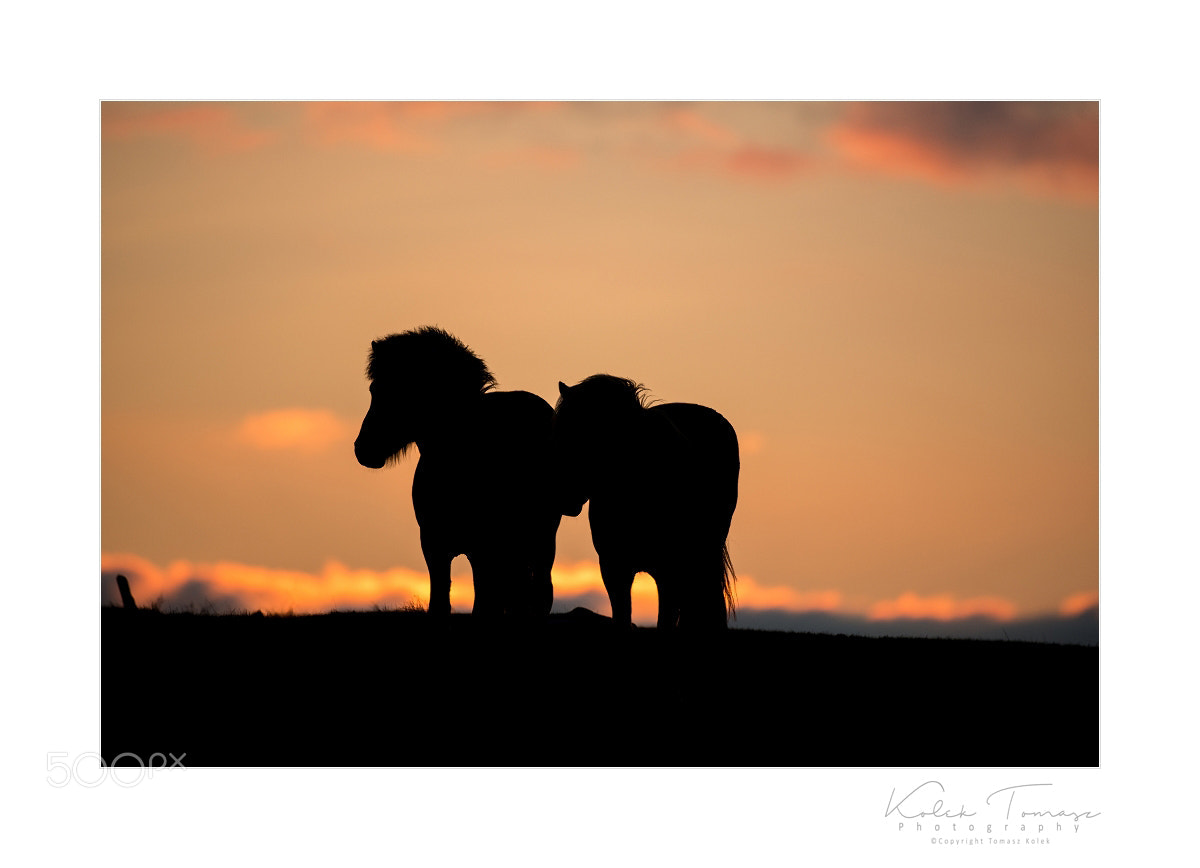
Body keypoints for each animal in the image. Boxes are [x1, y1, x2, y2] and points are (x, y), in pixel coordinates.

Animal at [354, 326, 561, 617]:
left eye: (398, 390)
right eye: (374, 388)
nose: (363, 448)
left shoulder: (482, 548)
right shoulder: (434, 545)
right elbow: (440, 602)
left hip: (539, 540)